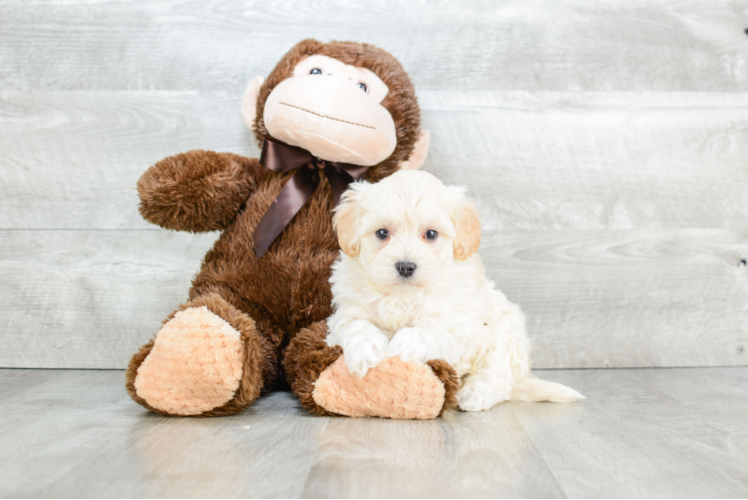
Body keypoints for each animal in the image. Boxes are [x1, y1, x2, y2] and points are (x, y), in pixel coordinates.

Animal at [324, 170, 580, 412]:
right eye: (382, 233)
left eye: (431, 234)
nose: (405, 267)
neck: (404, 296)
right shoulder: (347, 312)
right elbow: (356, 325)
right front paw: (366, 349)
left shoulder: (462, 324)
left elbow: (434, 329)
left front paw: (406, 344)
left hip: (506, 332)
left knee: (497, 375)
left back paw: (475, 395)